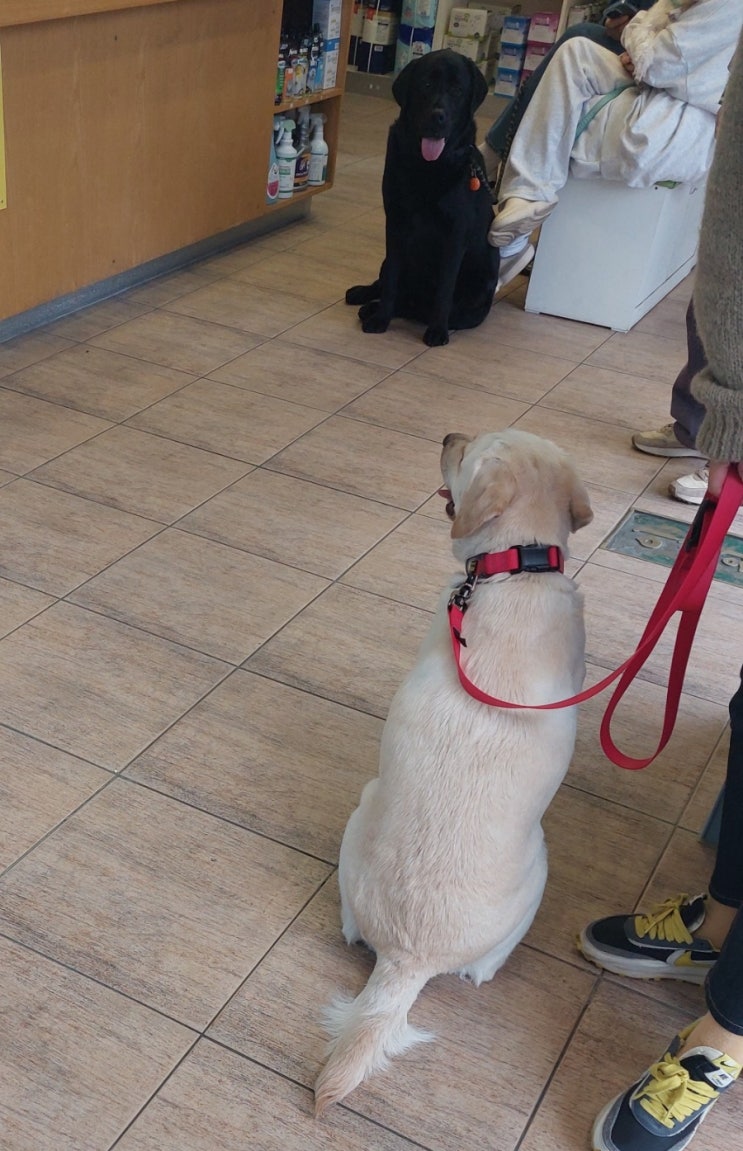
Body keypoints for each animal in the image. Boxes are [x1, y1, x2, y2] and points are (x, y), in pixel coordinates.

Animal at [347, 50, 501, 345]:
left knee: (421, 308)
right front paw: (381, 319)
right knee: (387, 283)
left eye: (457, 90)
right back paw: (363, 295)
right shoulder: (395, 223)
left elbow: (444, 290)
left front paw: (437, 330)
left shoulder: (455, 235)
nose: (438, 116)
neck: (428, 166)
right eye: (426, 85)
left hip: (478, 287)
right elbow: (392, 279)